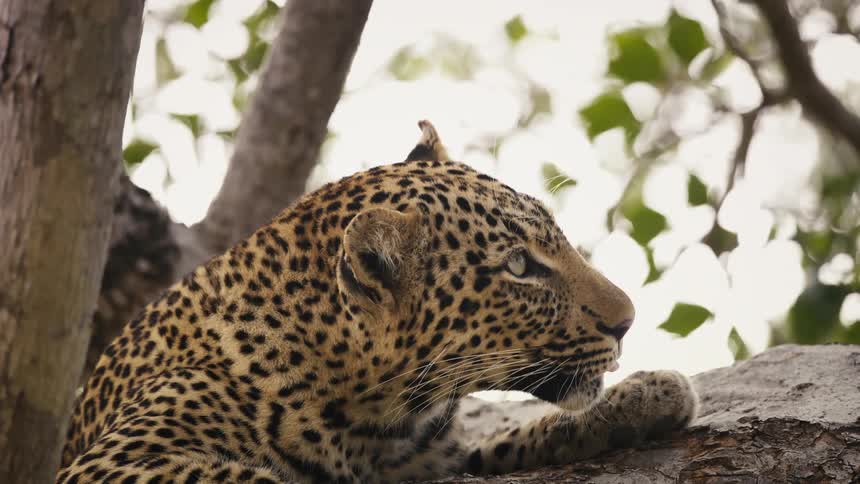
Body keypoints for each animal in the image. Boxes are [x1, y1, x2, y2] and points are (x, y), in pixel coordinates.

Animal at [58, 121, 698, 484]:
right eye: (519, 267)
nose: (627, 322)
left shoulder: (430, 460)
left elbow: (504, 441)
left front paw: (646, 395)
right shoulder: (116, 462)